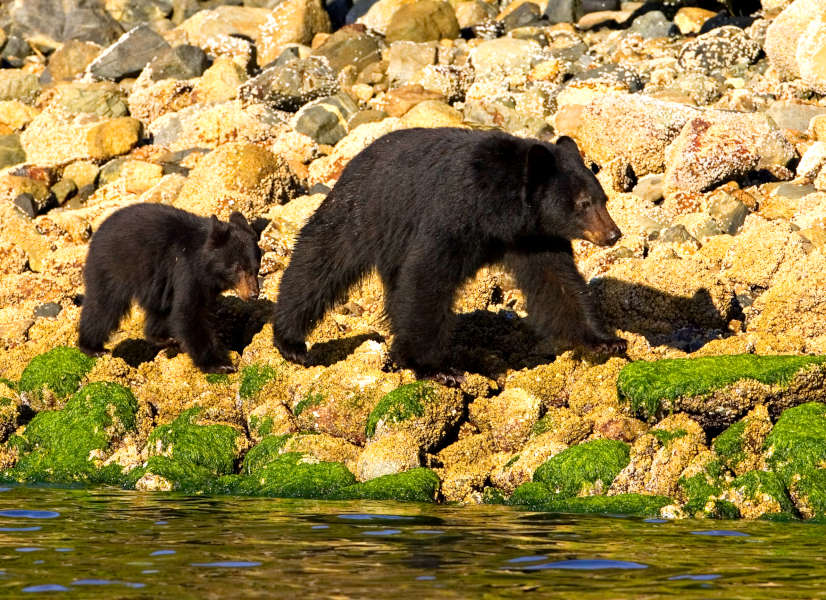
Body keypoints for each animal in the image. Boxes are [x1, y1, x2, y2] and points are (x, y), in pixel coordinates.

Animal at [77, 204, 260, 372]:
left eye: (256, 268)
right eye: (238, 268)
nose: (254, 294)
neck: (205, 266)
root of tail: (98, 232)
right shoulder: (187, 270)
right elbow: (188, 312)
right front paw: (219, 364)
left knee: (159, 308)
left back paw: (161, 338)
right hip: (112, 267)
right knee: (103, 307)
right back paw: (92, 347)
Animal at [272, 127, 624, 380]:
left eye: (603, 198)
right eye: (583, 203)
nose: (613, 234)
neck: (500, 210)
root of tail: (356, 158)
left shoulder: (534, 237)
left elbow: (558, 284)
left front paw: (606, 340)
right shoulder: (453, 214)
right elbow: (426, 279)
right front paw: (437, 367)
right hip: (364, 210)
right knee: (320, 259)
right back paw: (290, 340)